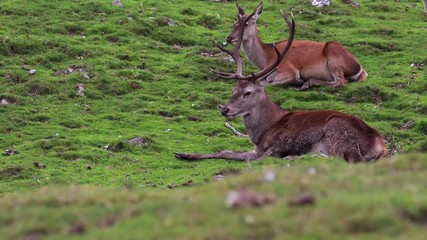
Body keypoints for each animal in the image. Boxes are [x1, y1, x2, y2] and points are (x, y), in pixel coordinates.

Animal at [176, 10, 390, 162]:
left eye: (248, 92)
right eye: (233, 90)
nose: (225, 109)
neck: (263, 133)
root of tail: (381, 146)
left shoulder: (278, 145)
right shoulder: (255, 149)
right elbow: (226, 151)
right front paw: (185, 154)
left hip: (338, 133)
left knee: (334, 157)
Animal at [226, 1, 370, 90]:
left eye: (246, 24)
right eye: (234, 24)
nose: (229, 38)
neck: (266, 58)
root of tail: (360, 68)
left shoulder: (288, 69)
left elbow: (267, 83)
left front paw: (298, 81)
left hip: (333, 53)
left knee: (341, 81)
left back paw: (307, 83)